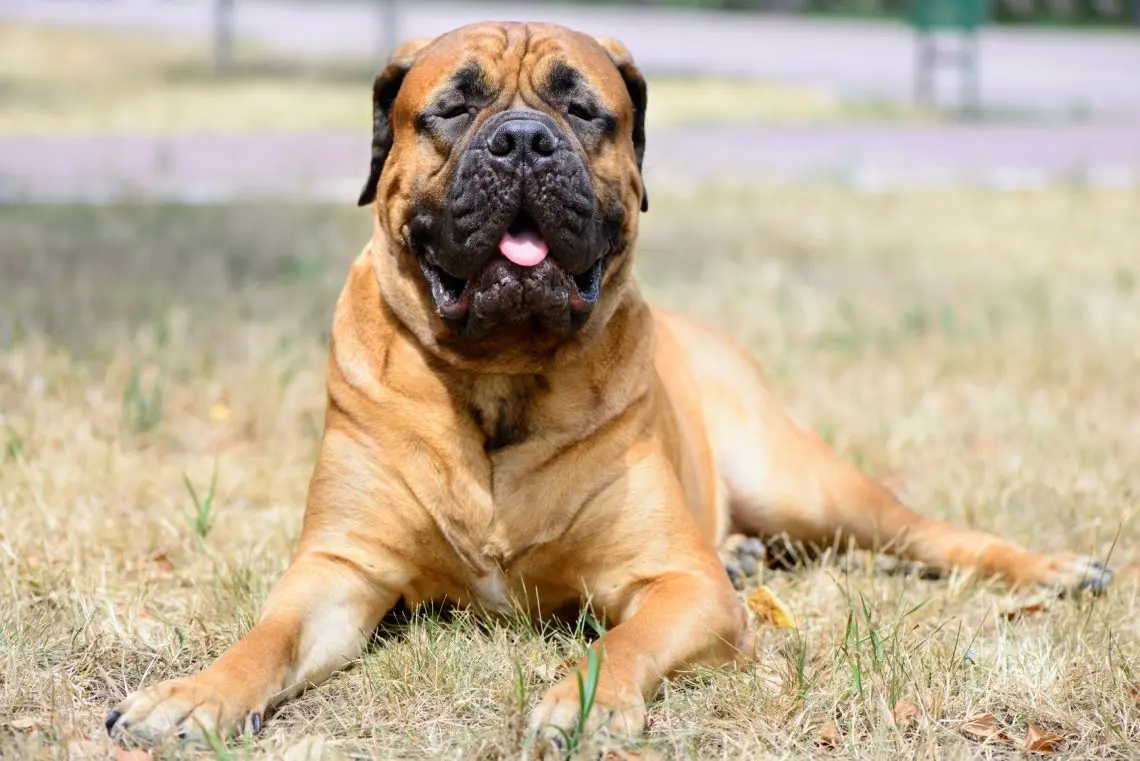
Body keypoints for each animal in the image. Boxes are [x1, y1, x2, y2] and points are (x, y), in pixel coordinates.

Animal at [107, 20, 1112, 747]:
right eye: (453, 106)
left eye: (584, 110)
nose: (521, 141)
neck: (502, 375)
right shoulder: (339, 568)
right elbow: (267, 635)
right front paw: (189, 696)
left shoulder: (682, 585)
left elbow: (621, 639)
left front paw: (580, 704)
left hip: (810, 481)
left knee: (929, 533)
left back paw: (1054, 567)